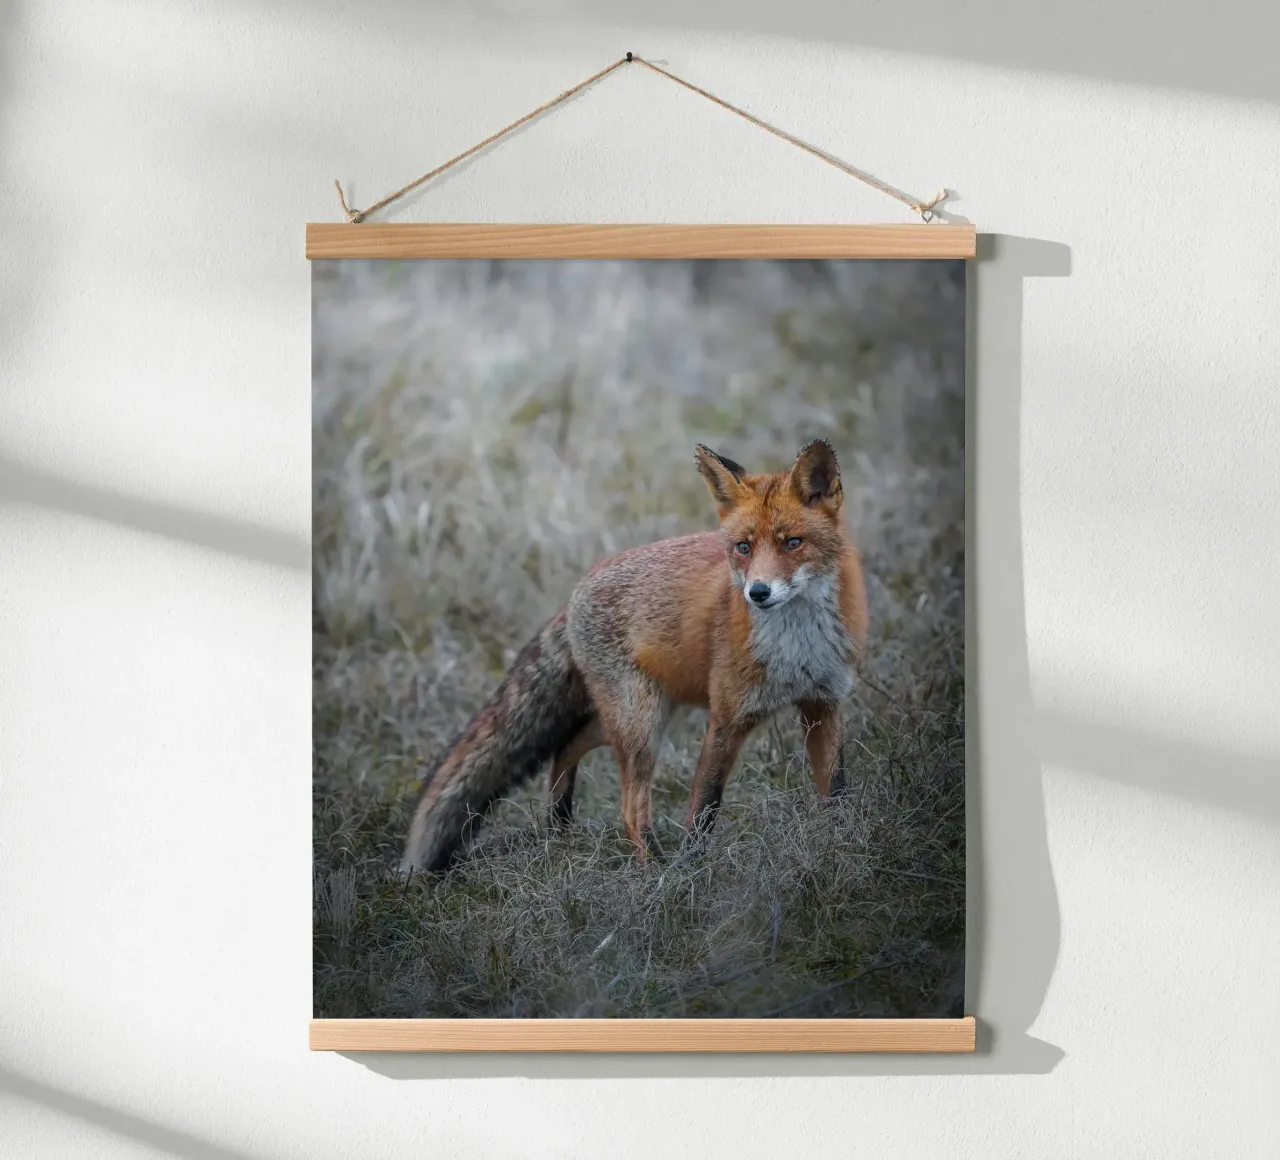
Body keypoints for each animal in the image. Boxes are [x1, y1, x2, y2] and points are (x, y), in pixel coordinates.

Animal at [400, 438, 868, 874]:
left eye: (793, 543)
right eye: (743, 547)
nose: (758, 592)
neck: (796, 648)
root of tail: (575, 591)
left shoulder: (823, 703)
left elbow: (837, 790)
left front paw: (840, 847)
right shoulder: (727, 717)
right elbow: (703, 809)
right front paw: (689, 874)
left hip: (639, 715)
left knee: (567, 744)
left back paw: (560, 822)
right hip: (641, 723)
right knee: (628, 806)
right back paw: (653, 871)